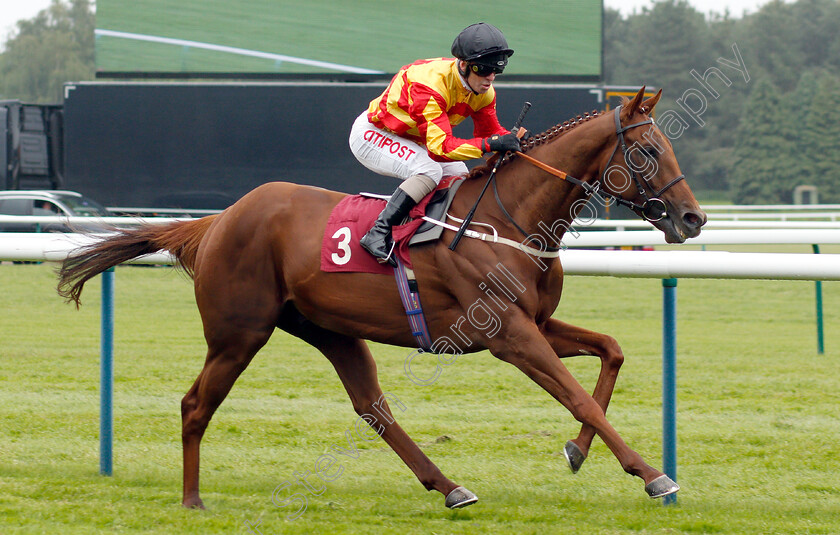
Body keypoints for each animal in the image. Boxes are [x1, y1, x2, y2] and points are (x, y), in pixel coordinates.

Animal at [55, 88, 704, 510]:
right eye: (647, 152)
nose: (692, 219)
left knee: (374, 408)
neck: (507, 216)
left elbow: (611, 352)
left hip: (329, 329)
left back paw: (450, 487)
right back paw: (191, 500)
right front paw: (653, 475)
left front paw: (576, 452)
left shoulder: (536, 322)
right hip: (239, 333)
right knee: (196, 405)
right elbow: (579, 399)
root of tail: (216, 221)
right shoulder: (509, 335)